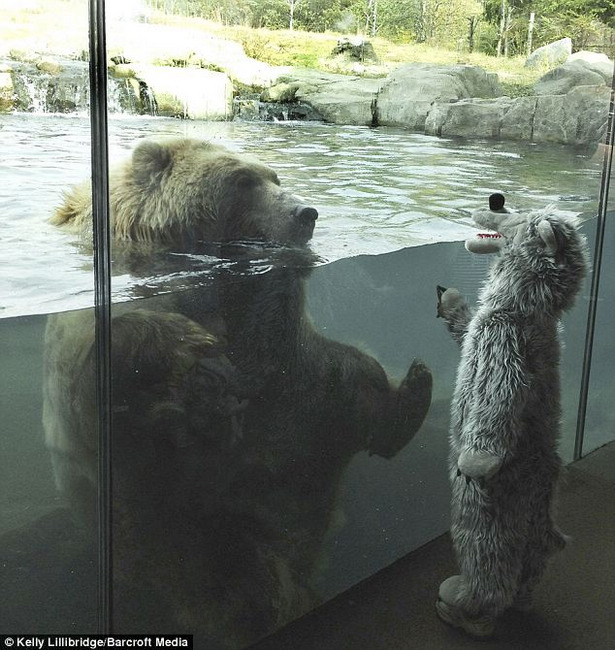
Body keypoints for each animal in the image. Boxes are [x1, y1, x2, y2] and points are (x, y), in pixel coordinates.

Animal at [44, 135, 434, 644]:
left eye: (274, 176)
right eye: (244, 180)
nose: (306, 212)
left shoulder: (275, 348)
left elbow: (273, 325)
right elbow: (118, 352)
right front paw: (196, 361)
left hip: (308, 397)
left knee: (355, 385)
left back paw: (413, 389)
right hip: (184, 528)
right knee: (232, 576)